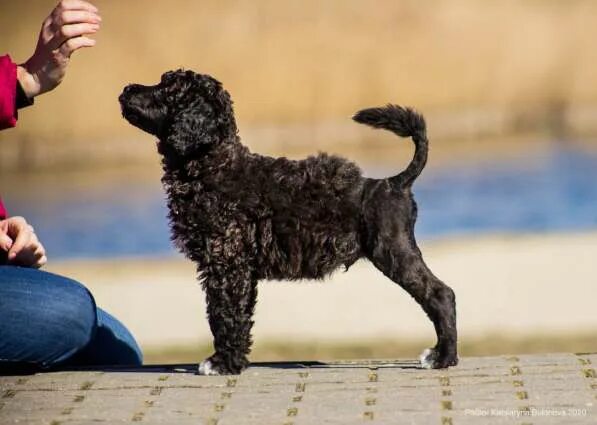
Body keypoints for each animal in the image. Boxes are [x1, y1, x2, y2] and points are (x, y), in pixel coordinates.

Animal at [118, 69, 458, 374]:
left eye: (167, 87)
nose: (125, 88)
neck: (209, 164)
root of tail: (395, 182)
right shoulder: (238, 269)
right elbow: (239, 316)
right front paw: (235, 361)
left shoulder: (227, 263)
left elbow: (223, 314)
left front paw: (222, 364)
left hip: (393, 252)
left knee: (441, 295)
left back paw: (442, 358)